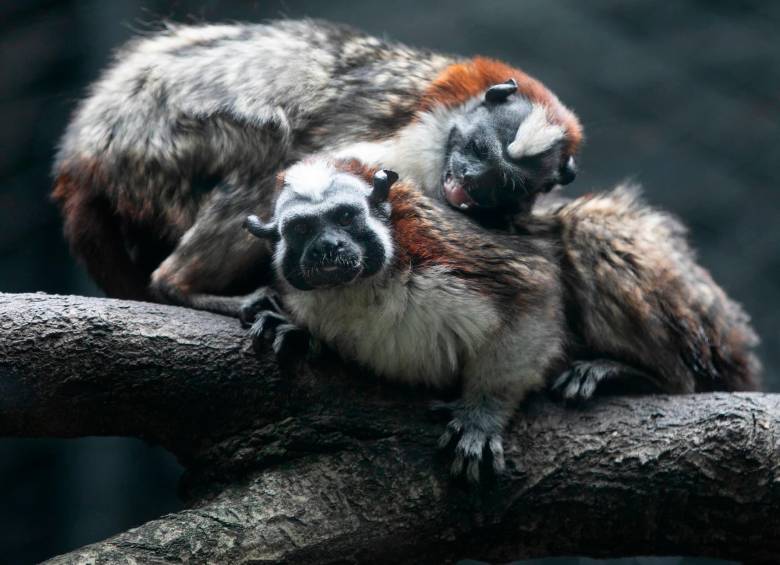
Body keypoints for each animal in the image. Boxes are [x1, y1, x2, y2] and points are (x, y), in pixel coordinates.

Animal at [51, 19, 582, 308]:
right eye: (478, 151)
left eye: (498, 184)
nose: (467, 182)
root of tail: (86, 151)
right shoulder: (411, 140)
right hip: (161, 142)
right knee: (267, 156)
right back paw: (183, 286)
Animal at [240, 156, 760, 480]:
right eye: (302, 230)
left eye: (346, 218)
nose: (328, 248)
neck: (363, 288)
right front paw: (293, 329)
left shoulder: (453, 254)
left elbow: (538, 292)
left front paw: (482, 417)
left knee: (587, 227)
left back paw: (629, 374)